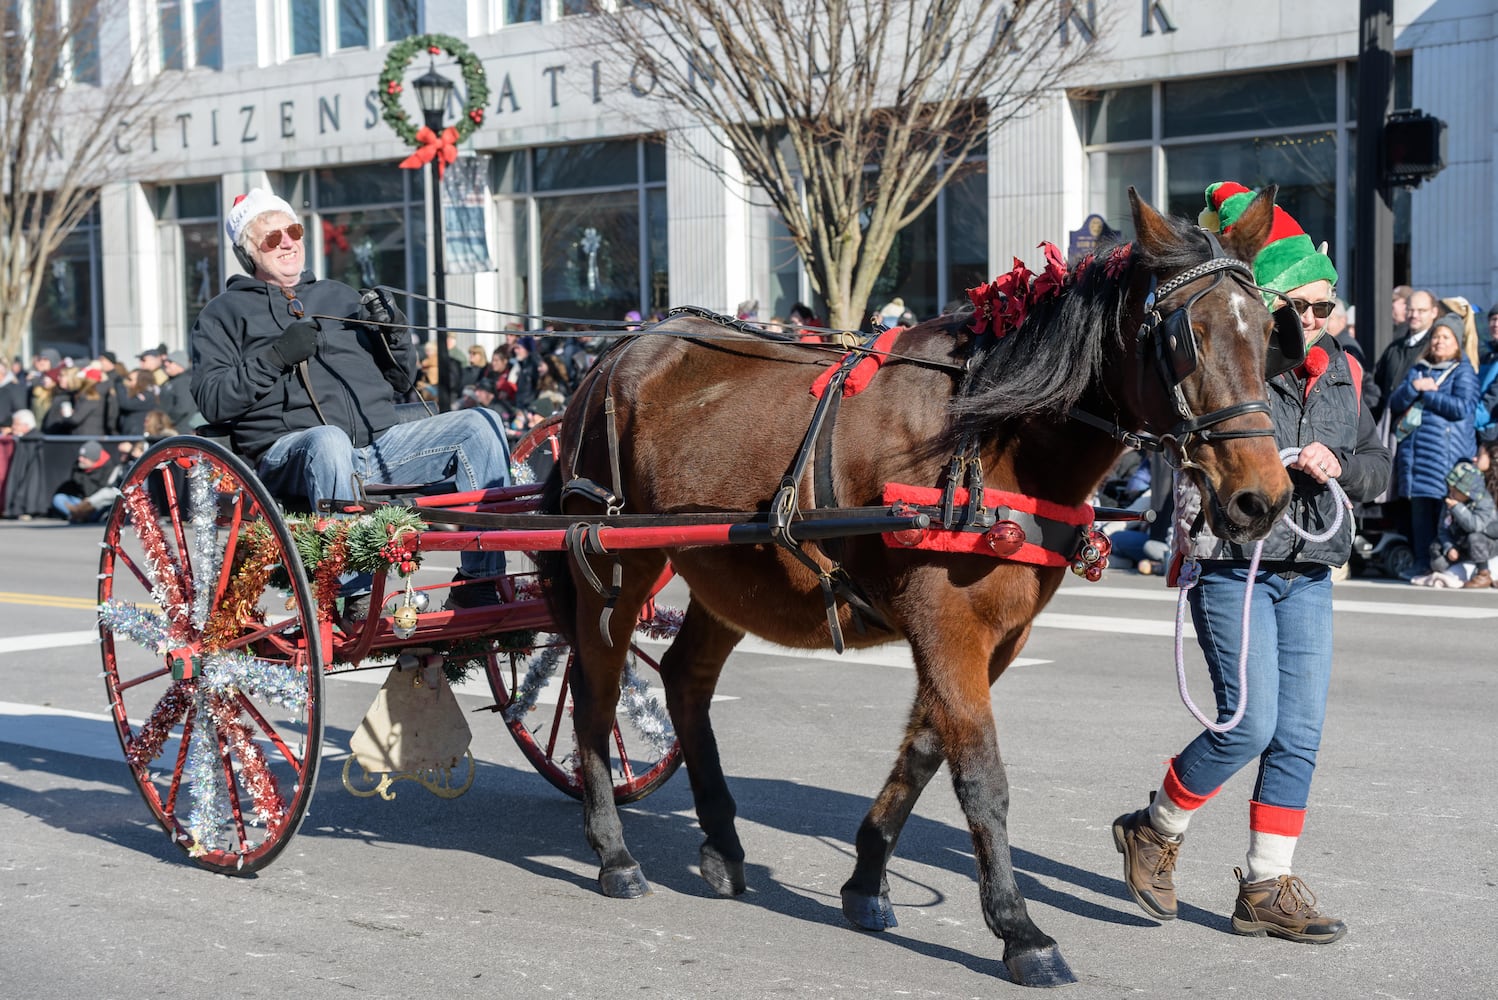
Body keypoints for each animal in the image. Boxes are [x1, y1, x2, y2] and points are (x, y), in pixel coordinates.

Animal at [533, 187, 1294, 982]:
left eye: (1269, 333)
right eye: (1186, 338)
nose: (1262, 499)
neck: (987, 436)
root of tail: (612, 358)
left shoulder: (994, 637)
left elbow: (927, 749)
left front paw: (867, 879)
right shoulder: (947, 628)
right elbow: (981, 777)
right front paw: (1020, 929)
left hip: (730, 574)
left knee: (684, 678)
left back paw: (722, 843)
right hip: (616, 562)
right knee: (596, 693)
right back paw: (613, 851)